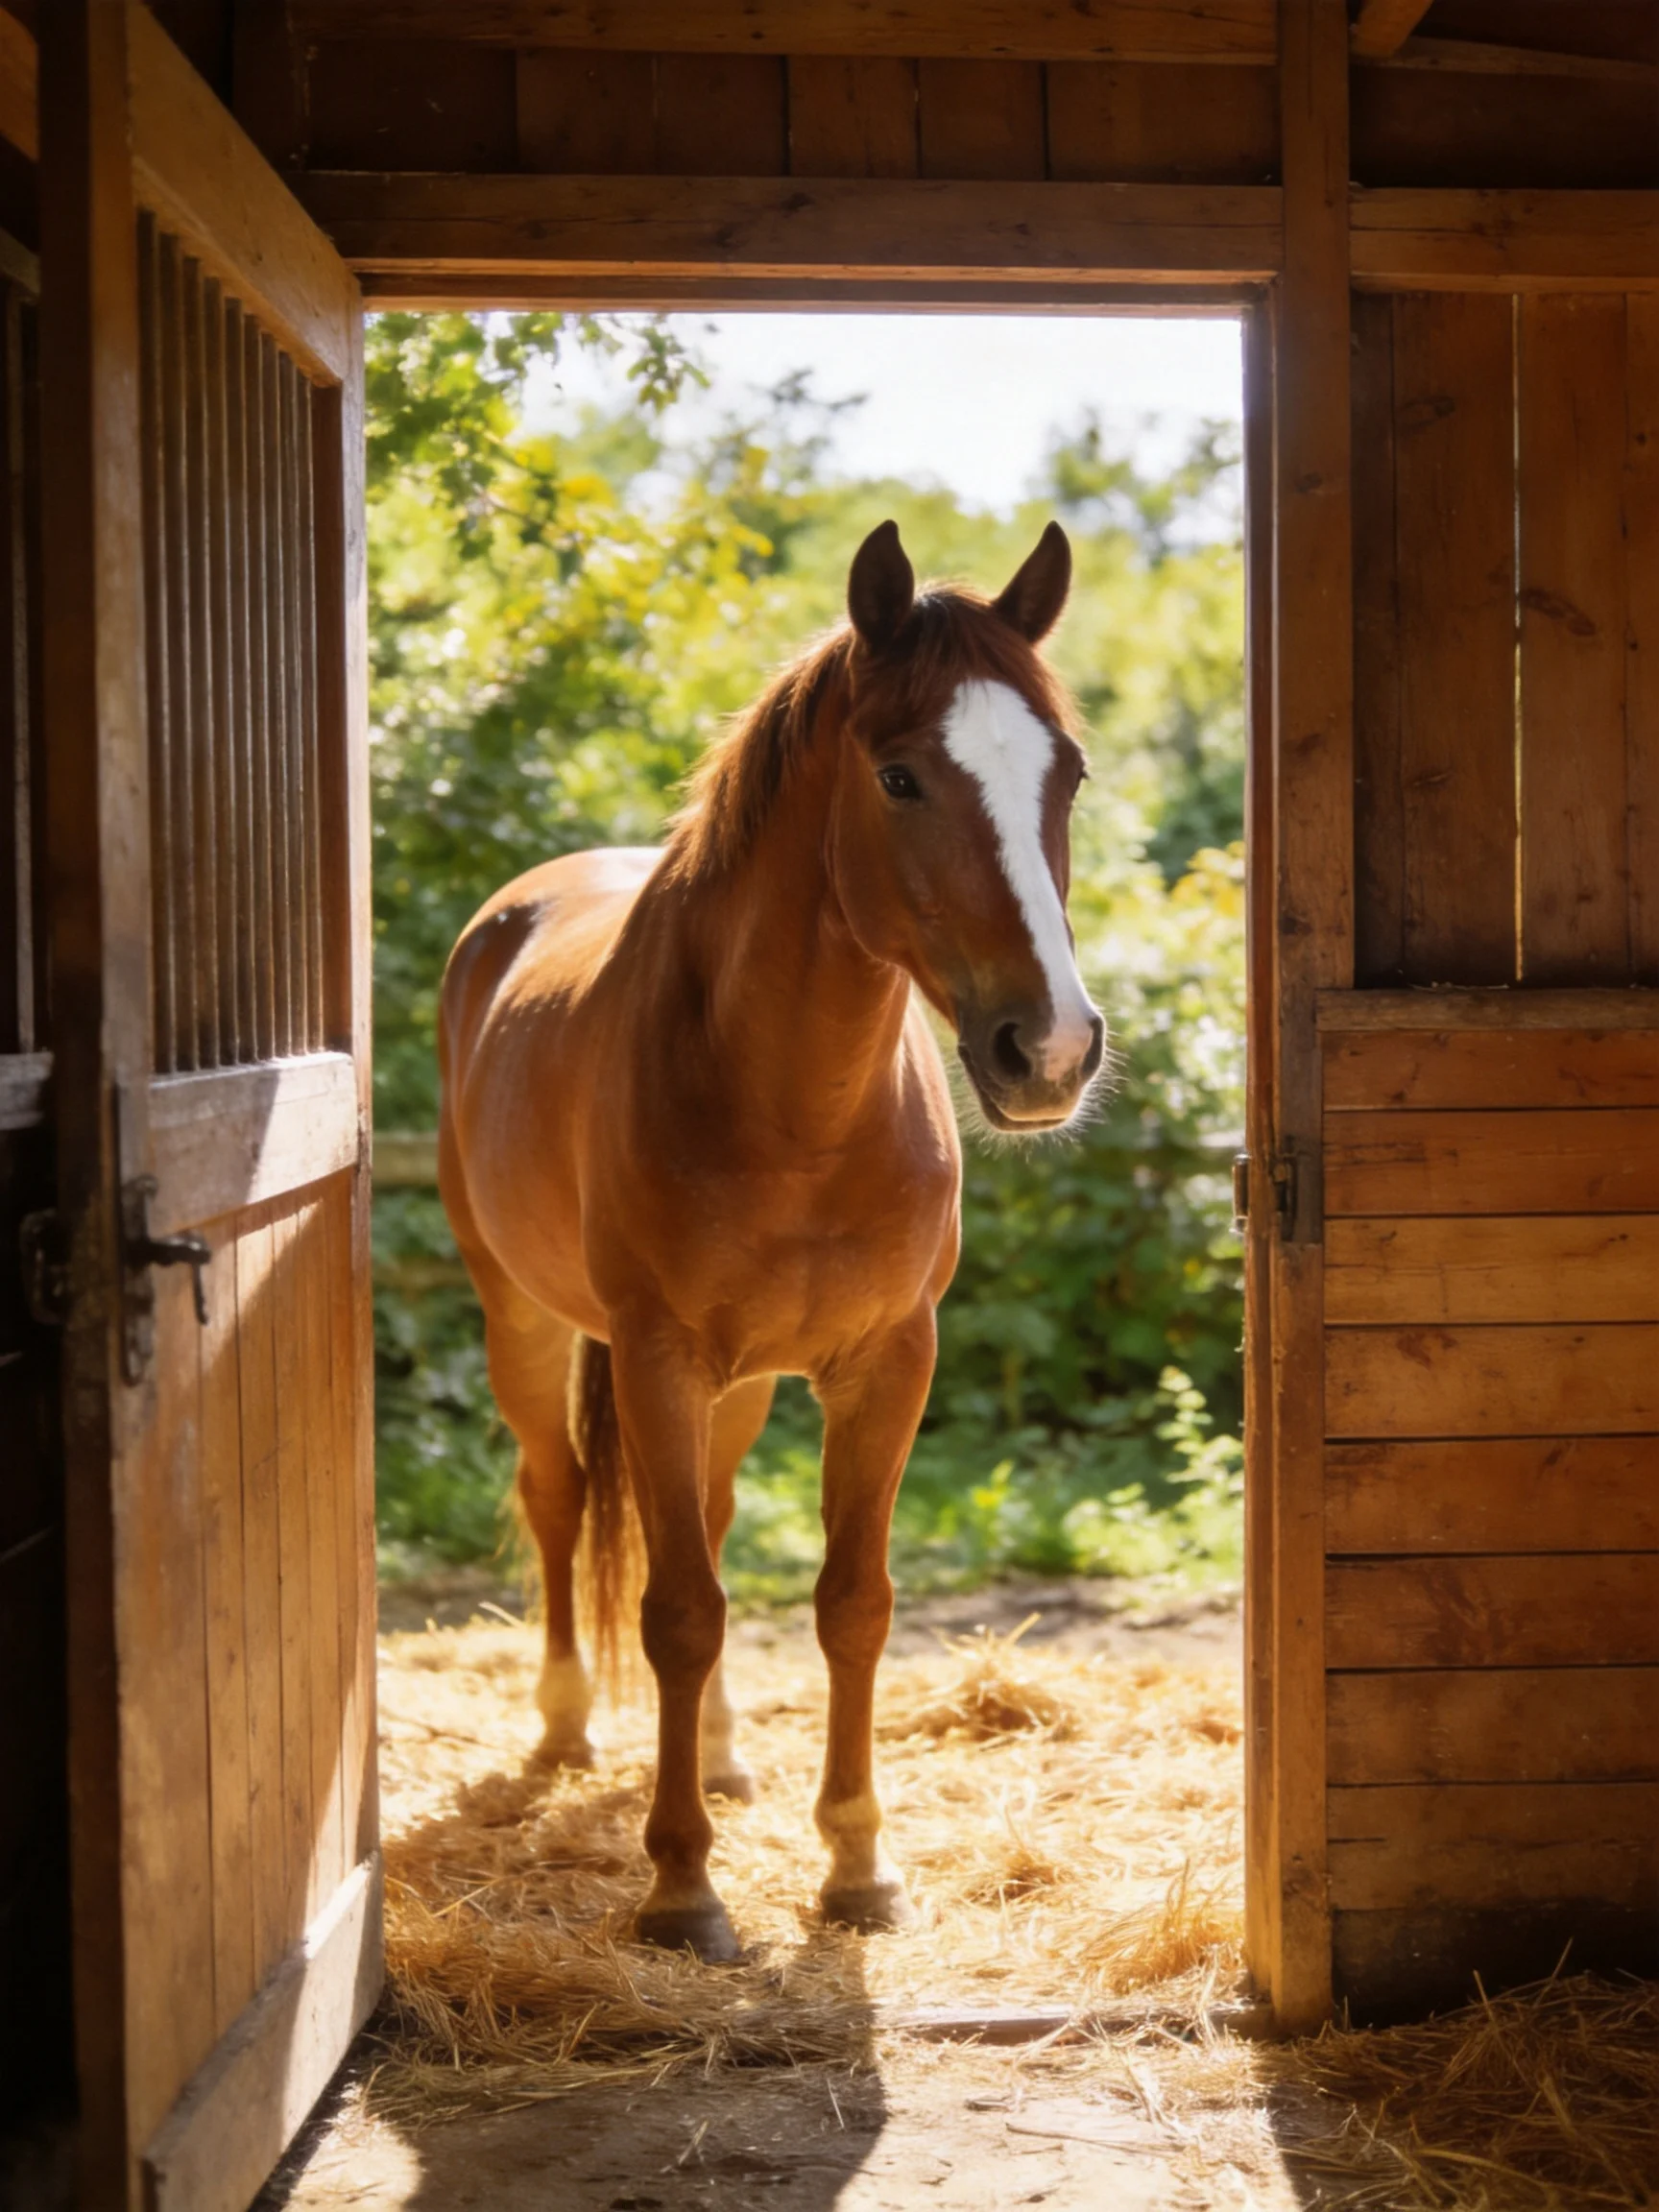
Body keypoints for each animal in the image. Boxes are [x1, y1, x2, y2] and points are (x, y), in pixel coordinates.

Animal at [437, 518, 1104, 1961]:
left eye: (1066, 774)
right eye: (901, 775)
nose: (1051, 1051)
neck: (793, 1106)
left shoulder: (887, 1366)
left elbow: (850, 1603)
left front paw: (856, 1866)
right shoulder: (656, 1360)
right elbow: (680, 1610)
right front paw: (682, 1887)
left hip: (734, 1389)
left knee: (711, 1519)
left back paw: (729, 1753)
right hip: (525, 1321)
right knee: (559, 1497)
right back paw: (565, 1728)